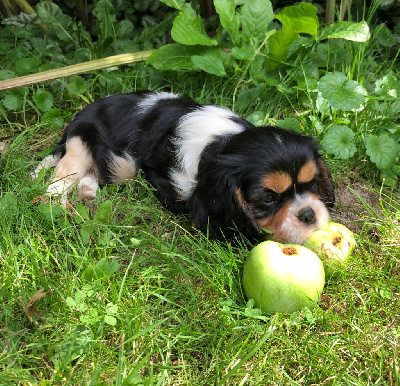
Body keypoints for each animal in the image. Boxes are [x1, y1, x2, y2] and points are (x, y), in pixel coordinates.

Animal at [33, 90, 334, 243]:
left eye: (311, 184)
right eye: (268, 198)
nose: (309, 215)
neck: (221, 143)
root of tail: (74, 119)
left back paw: (87, 192)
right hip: (82, 146)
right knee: (58, 180)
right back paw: (58, 204)